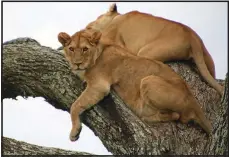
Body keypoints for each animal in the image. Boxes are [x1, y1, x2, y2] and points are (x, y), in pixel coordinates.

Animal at [58, 28, 212, 142]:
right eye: (71, 49)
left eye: (85, 49)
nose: (77, 63)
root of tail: (194, 102)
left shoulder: (99, 85)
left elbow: (75, 105)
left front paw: (75, 131)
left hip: (148, 80)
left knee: (178, 116)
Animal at [85, 3, 223, 95]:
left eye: (90, 25)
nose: (87, 26)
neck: (117, 17)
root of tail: (192, 36)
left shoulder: (111, 34)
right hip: (209, 60)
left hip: (148, 51)